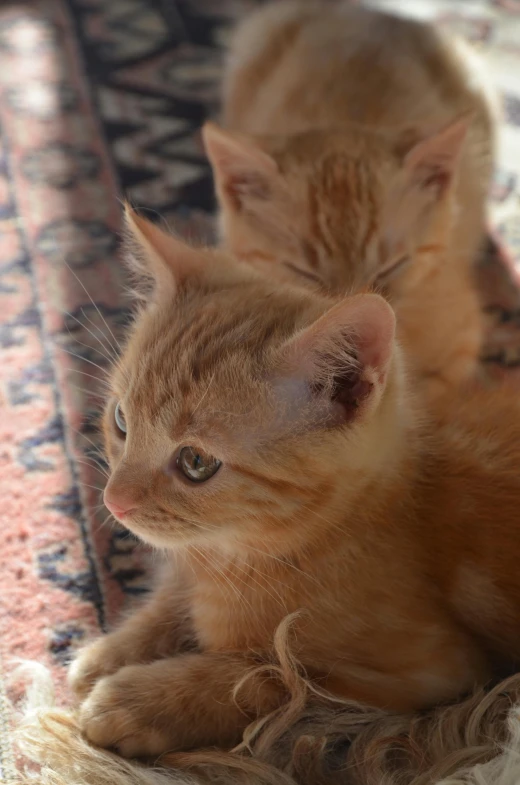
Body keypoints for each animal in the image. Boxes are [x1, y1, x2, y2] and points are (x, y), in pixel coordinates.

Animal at [70, 210, 520, 760]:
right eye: (121, 421)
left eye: (196, 461)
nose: (114, 501)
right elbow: (172, 600)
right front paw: (110, 652)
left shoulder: (429, 673)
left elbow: (273, 678)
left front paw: (136, 701)